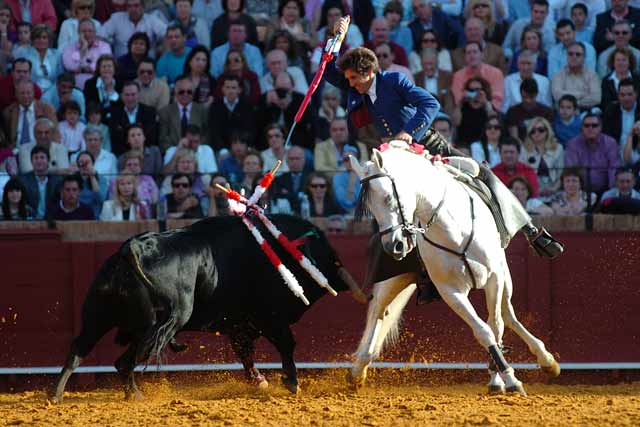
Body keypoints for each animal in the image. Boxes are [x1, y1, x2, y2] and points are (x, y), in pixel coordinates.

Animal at [50, 216, 364, 402]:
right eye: (326, 252)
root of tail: (132, 248)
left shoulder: (239, 324)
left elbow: (245, 352)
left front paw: (259, 381)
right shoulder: (269, 317)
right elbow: (286, 345)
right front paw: (291, 382)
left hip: (97, 317)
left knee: (79, 349)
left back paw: (56, 394)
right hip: (164, 322)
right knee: (125, 361)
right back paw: (136, 397)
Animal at [344, 142, 560, 396]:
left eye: (389, 197)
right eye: (369, 207)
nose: (394, 246)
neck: (453, 229)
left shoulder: (494, 278)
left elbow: (495, 325)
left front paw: (504, 377)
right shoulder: (451, 291)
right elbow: (483, 330)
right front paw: (509, 378)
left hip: (504, 274)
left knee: (507, 314)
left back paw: (545, 361)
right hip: (395, 279)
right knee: (379, 310)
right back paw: (358, 369)